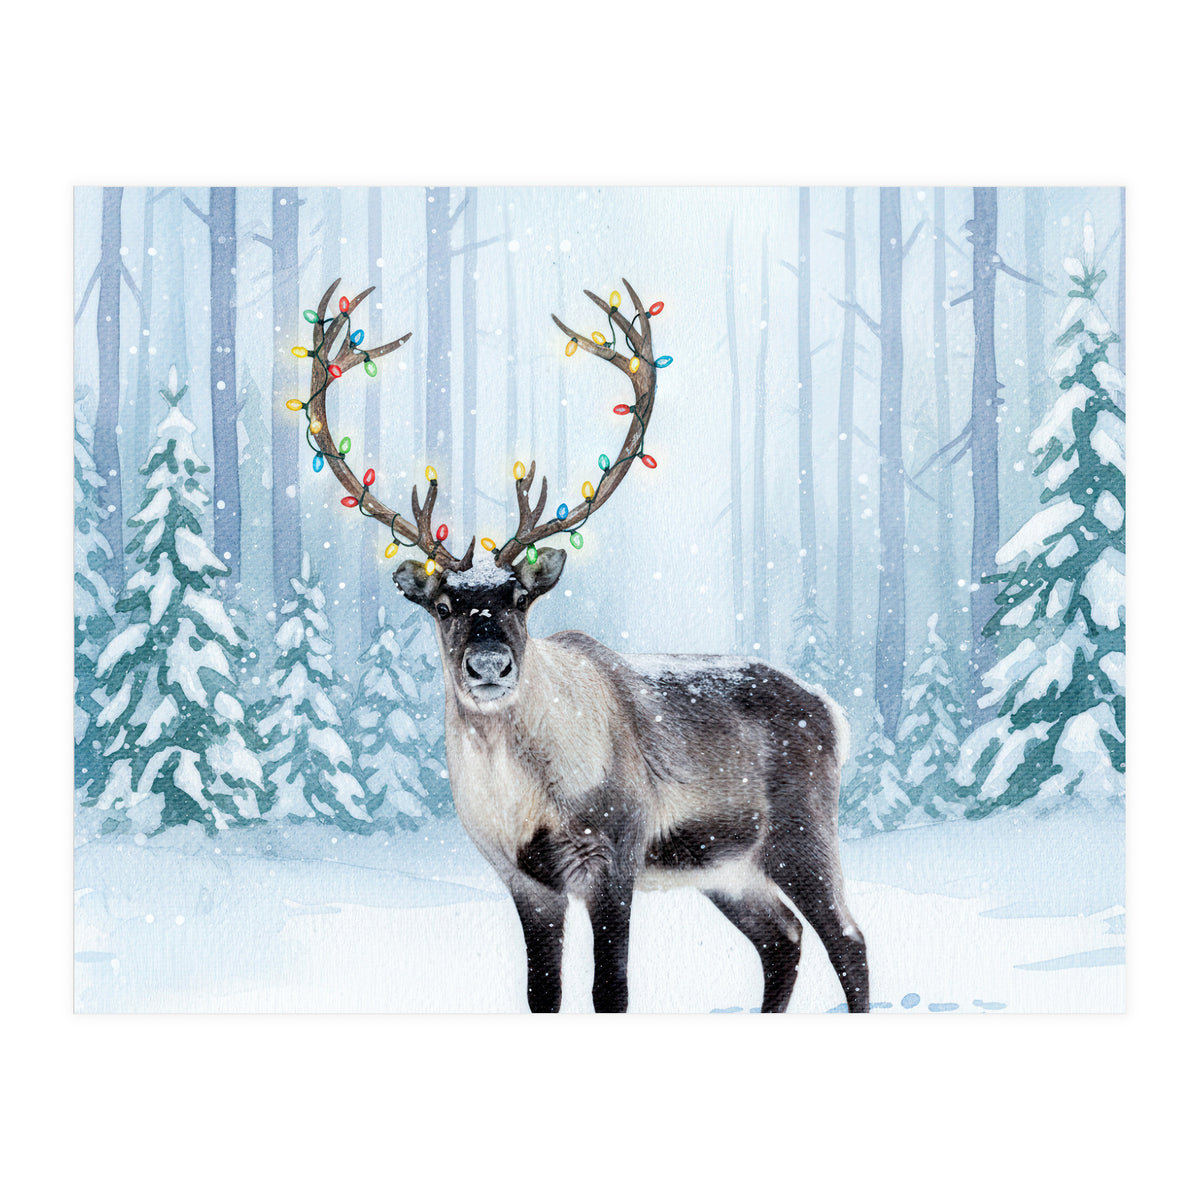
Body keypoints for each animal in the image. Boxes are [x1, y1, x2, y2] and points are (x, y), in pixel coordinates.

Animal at [297, 277, 869, 1013]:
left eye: (520, 598)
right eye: (444, 605)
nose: (489, 665)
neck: (523, 800)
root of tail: (832, 710)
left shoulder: (613, 854)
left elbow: (610, 990)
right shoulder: (524, 880)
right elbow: (543, 993)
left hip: (800, 834)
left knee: (847, 940)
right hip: (727, 867)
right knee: (783, 939)